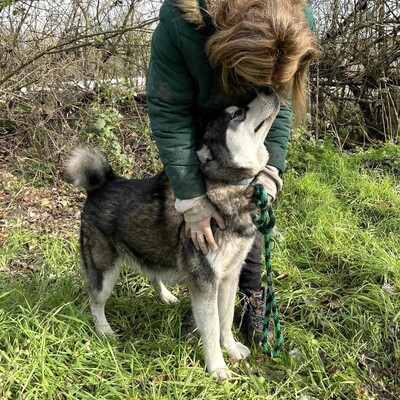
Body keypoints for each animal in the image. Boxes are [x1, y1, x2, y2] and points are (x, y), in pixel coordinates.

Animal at [65, 91, 278, 382]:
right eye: (237, 113)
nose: (270, 90)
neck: (228, 188)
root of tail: (104, 183)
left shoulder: (229, 277)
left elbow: (226, 318)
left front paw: (231, 349)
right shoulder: (205, 282)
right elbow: (212, 327)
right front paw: (217, 367)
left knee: (151, 272)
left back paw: (165, 296)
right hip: (104, 272)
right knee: (95, 302)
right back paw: (104, 331)